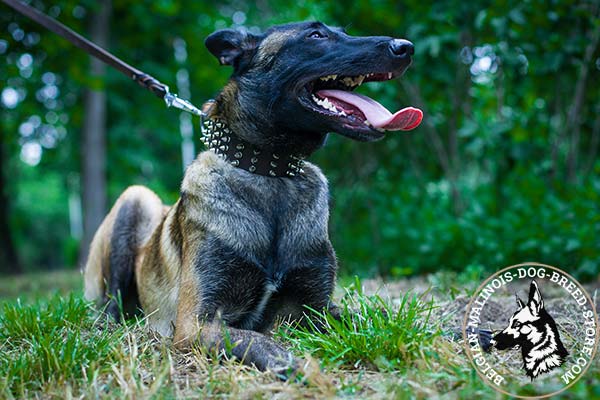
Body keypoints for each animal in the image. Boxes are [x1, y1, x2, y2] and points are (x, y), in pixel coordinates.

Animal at [83, 21, 422, 378]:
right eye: (316, 35)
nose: (405, 47)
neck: (271, 173)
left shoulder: (318, 308)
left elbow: (369, 318)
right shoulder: (196, 323)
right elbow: (258, 342)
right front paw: (300, 367)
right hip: (135, 197)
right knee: (112, 304)